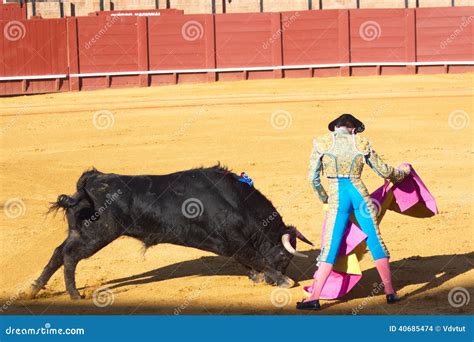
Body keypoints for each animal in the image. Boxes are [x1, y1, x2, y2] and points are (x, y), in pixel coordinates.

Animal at [24, 166, 312, 300]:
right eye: (284, 258)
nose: (279, 278)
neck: (236, 201)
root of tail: (91, 179)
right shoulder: (233, 241)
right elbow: (255, 257)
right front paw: (283, 280)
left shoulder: (230, 244)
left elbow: (249, 260)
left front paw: (258, 277)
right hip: (97, 234)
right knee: (70, 257)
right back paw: (74, 294)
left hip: (81, 232)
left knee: (58, 253)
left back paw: (34, 289)